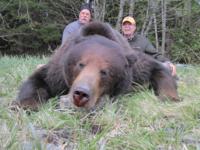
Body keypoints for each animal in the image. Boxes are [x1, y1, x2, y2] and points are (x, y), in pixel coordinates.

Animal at [14, 21, 180, 109]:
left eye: (105, 72)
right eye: (80, 64)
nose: (81, 94)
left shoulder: (134, 68)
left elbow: (155, 68)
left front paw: (170, 97)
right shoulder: (58, 72)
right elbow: (40, 79)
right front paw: (25, 105)